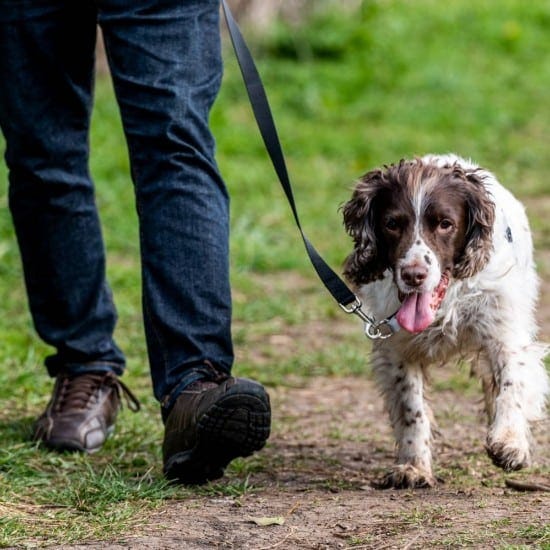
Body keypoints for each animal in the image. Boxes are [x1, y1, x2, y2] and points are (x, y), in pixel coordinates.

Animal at [342, 153, 548, 490]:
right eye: (391, 224)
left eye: (445, 224)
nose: (413, 275)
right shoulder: (397, 349)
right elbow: (412, 408)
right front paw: (413, 467)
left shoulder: (504, 331)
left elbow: (511, 384)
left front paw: (510, 443)